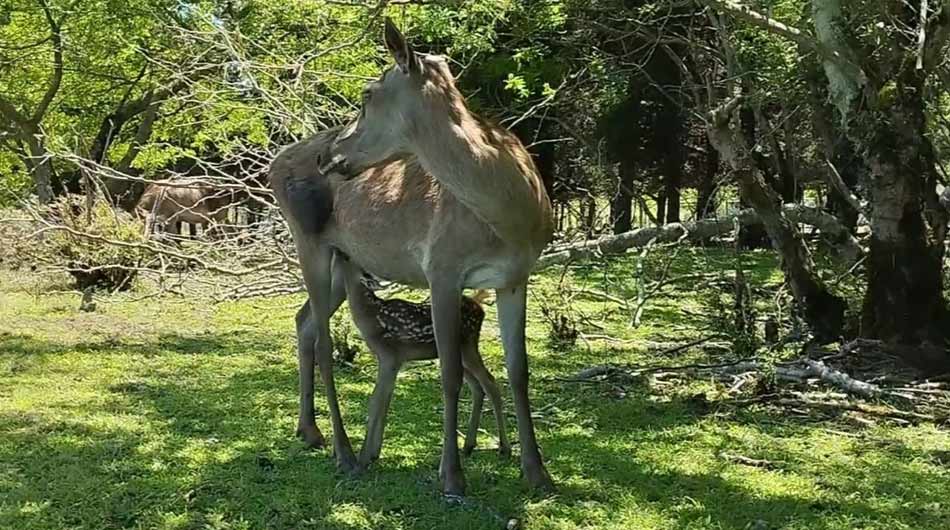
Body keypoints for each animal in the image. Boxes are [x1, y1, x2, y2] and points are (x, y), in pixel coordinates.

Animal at [268, 18, 556, 492]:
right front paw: (452, 476)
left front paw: (537, 472)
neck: (510, 218)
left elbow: (520, 370)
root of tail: (272, 164)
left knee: (303, 319)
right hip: (306, 238)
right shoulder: (441, 267)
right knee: (325, 342)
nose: (329, 155)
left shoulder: (516, 276)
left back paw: (309, 431)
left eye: (367, 94)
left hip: (341, 258)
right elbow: (450, 374)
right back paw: (344, 452)